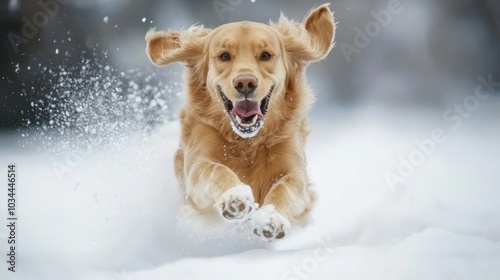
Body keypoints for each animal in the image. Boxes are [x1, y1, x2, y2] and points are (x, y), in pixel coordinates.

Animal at [146, 3, 336, 241]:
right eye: (225, 56)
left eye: (265, 55)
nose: (245, 82)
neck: (247, 142)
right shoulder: (197, 165)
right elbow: (215, 169)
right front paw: (235, 198)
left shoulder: (295, 171)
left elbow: (285, 187)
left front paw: (270, 219)